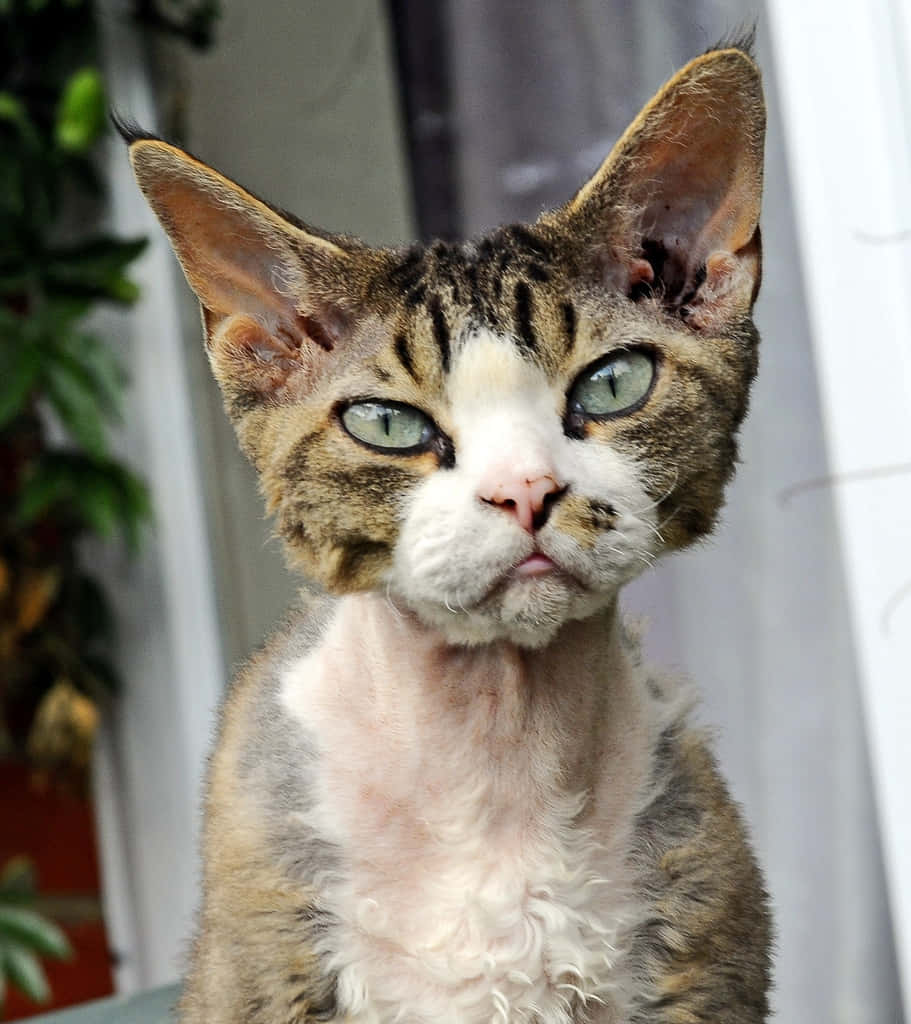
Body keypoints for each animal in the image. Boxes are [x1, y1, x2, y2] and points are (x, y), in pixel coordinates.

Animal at [120, 34, 769, 1024]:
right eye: (387, 424)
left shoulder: (708, 952)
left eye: (611, 384)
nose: (525, 491)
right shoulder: (260, 959)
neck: (500, 744)